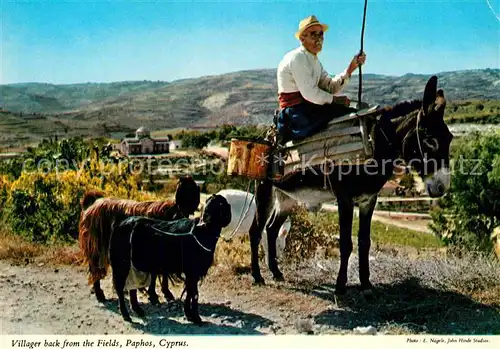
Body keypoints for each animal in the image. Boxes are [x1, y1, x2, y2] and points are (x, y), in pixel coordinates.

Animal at [109, 194, 230, 322]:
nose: (204, 219)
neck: (202, 232)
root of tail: (119, 224)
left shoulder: (191, 273)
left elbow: (189, 292)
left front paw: (189, 314)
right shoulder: (193, 271)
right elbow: (194, 293)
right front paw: (196, 318)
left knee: (132, 287)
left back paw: (138, 310)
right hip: (121, 264)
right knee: (120, 287)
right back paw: (126, 314)